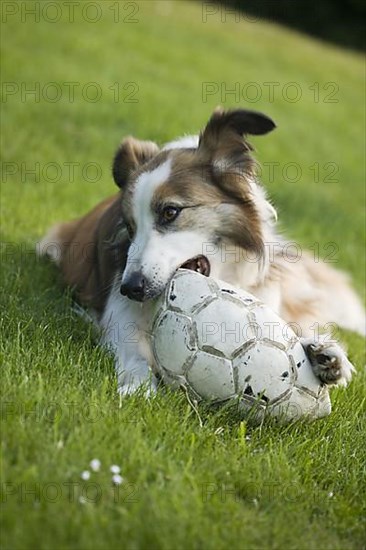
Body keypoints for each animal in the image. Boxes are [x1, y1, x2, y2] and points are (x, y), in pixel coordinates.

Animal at [38, 108, 364, 396]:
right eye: (130, 228)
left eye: (170, 212)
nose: (130, 288)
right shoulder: (118, 315)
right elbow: (132, 348)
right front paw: (138, 383)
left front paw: (322, 355)